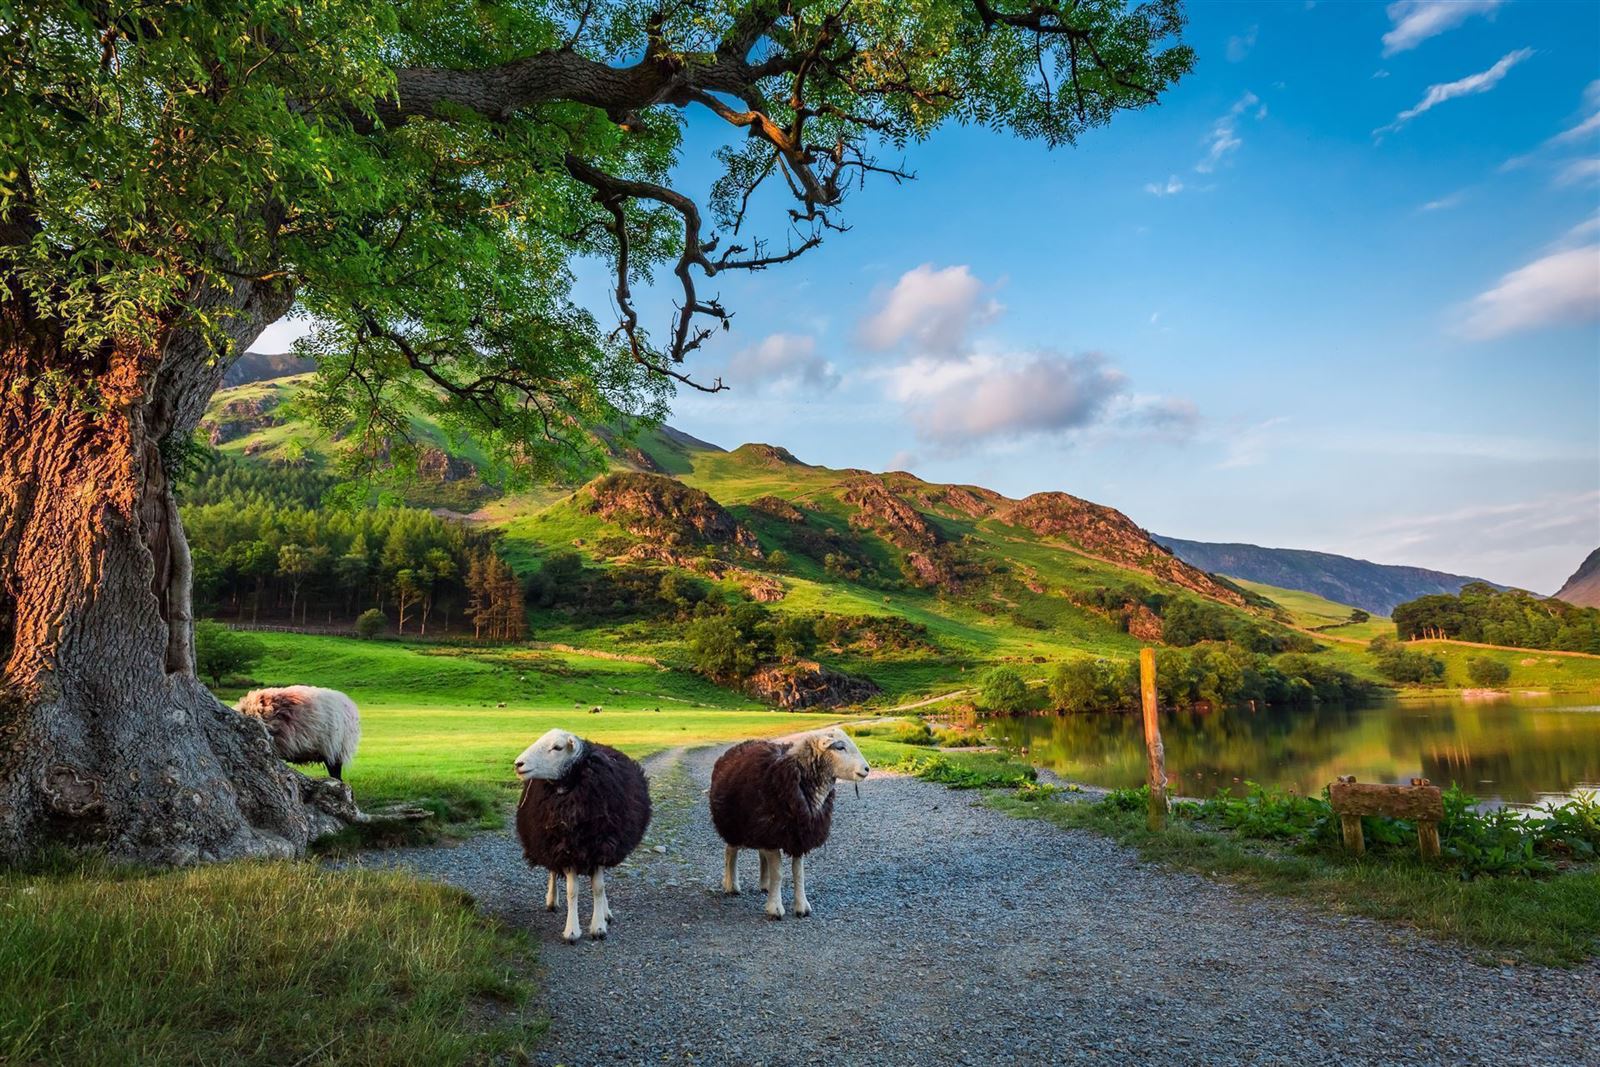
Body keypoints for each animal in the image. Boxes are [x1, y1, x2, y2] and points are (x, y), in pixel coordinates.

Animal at [514, 728, 652, 943]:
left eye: (557, 747)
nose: (518, 764)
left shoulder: (601, 846)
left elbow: (599, 888)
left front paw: (599, 927)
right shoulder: (566, 849)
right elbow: (572, 891)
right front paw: (572, 930)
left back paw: (606, 912)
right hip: (550, 844)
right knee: (552, 870)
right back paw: (552, 900)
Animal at [708, 725, 870, 920]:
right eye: (840, 747)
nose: (867, 769)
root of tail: (740, 745)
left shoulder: (798, 835)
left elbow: (798, 873)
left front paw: (802, 907)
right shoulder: (774, 832)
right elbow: (778, 873)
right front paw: (775, 908)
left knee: (760, 855)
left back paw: (765, 884)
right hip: (735, 824)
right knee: (730, 852)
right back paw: (731, 885)